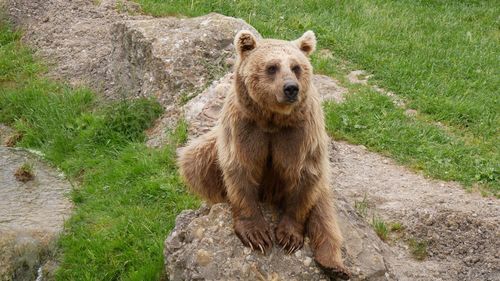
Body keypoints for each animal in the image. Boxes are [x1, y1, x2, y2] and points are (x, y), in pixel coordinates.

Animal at [178, 29, 350, 276]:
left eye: (296, 67)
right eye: (272, 67)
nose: (291, 88)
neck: (272, 119)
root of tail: (270, 195)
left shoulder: (302, 132)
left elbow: (304, 175)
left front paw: (289, 237)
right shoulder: (244, 127)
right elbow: (240, 169)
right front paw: (257, 235)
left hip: (321, 187)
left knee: (324, 215)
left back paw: (334, 265)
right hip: (209, 147)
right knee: (194, 160)